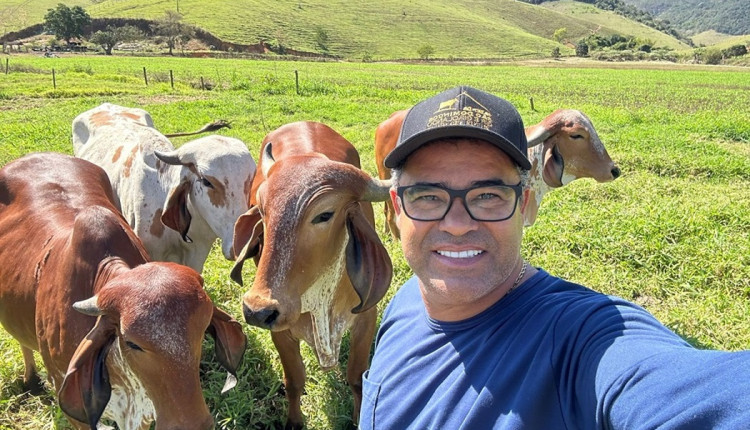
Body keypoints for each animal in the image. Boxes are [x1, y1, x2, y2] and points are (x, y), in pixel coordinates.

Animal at [232, 121, 396, 430]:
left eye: (324, 215)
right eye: (263, 211)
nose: (257, 310)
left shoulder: (366, 319)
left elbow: (357, 378)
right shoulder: (280, 330)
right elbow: (294, 380)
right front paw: (294, 422)